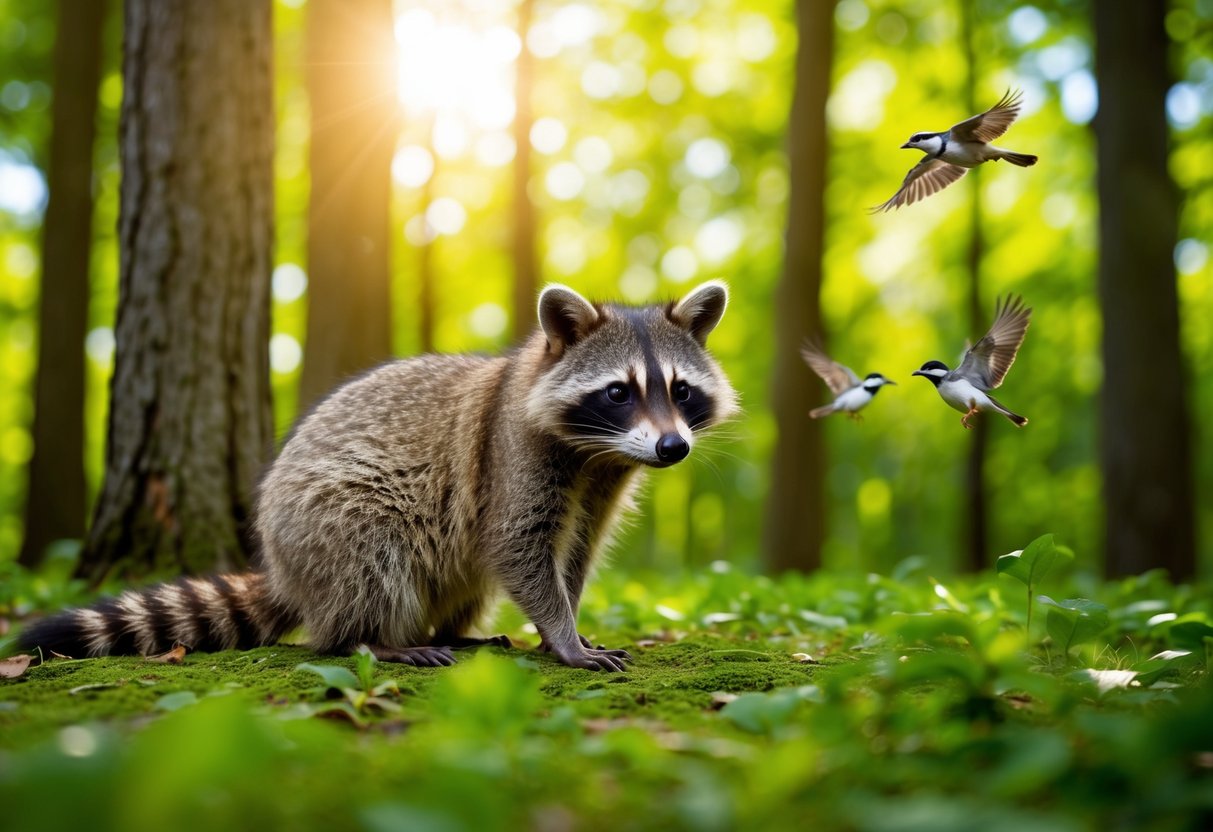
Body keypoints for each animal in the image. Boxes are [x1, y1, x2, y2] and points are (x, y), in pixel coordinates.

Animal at [20, 281, 737, 671]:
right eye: (619, 392)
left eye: (680, 390)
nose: (672, 448)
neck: (599, 452)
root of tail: (286, 571)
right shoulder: (513, 457)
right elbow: (518, 546)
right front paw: (560, 633)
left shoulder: (603, 479)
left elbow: (575, 555)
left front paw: (567, 620)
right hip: (330, 520)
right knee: (374, 557)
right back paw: (374, 640)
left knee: (463, 575)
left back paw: (450, 629)